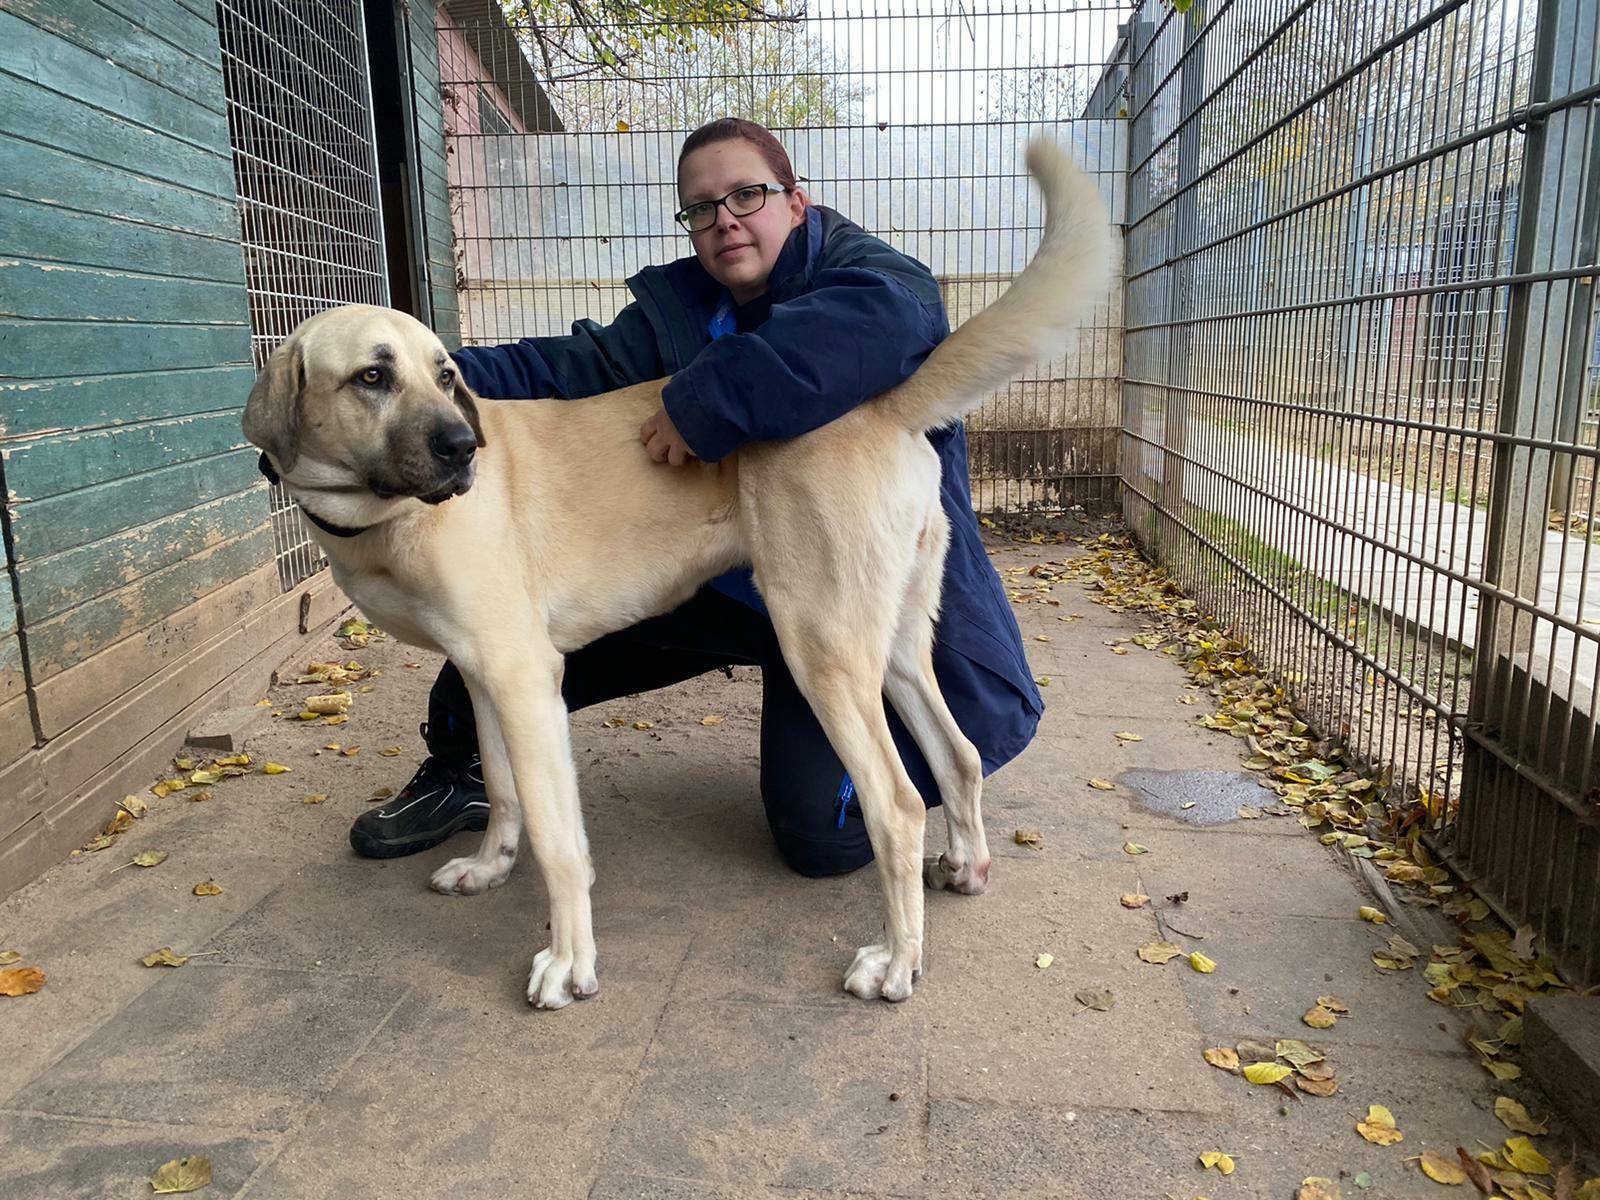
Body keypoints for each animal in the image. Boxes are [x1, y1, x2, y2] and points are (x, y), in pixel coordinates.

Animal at [240, 138, 1113, 1004]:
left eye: (445, 374)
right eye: (373, 376)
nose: (463, 449)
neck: (382, 517)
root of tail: (879, 402)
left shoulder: (524, 678)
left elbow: (559, 840)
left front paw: (570, 962)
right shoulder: (486, 676)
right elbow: (506, 794)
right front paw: (490, 867)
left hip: (822, 651)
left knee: (897, 805)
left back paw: (897, 961)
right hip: (893, 645)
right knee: (959, 755)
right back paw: (965, 866)